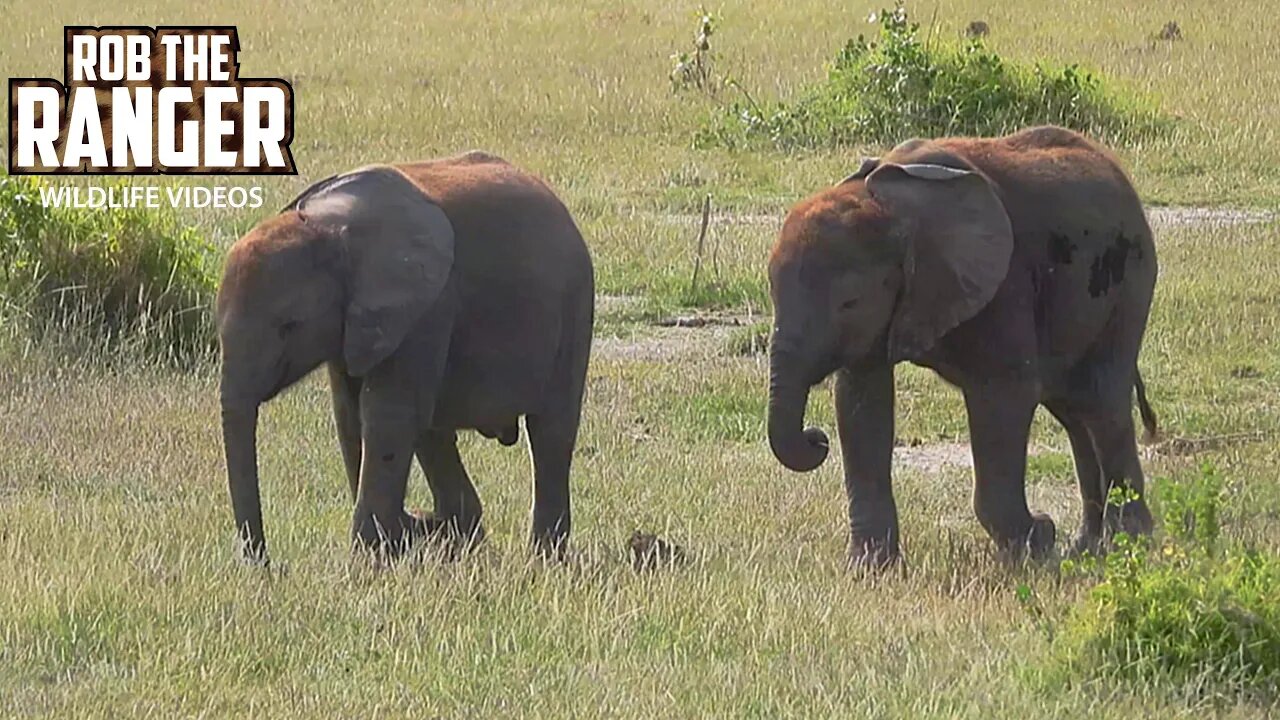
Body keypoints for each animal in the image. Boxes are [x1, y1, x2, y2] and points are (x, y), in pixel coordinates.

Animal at [216, 151, 593, 561]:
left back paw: (539, 558)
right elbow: (350, 414)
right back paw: (457, 531)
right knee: (432, 431)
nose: (267, 566)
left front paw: (372, 557)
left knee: (550, 433)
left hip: (574, 307)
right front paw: (400, 541)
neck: (328, 228)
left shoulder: (426, 306)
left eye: (289, 325)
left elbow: (386, 414)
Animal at [762, 124, 1167, 566]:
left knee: (1101, 399)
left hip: (1130, 279)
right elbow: (861, 403)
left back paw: (1130, 543)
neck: (888, 206)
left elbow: (1002, 396)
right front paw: (870, 569)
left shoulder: (1005, 281)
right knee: (1073, 408)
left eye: (849, 302)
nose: (816, 438)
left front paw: (1035, 546)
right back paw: (1088, 547)